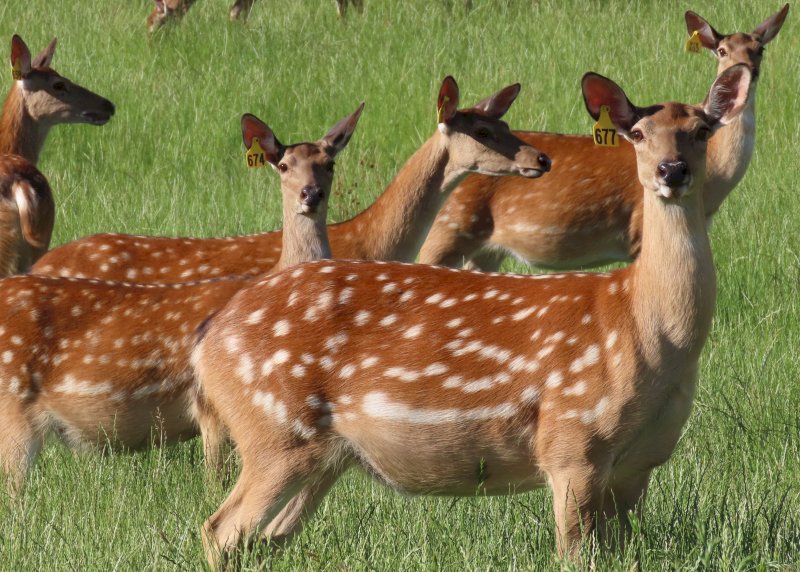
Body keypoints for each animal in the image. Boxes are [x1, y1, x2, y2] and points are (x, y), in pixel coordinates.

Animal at [0, 105, 362, 492]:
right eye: (283, 165)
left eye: (329, 163)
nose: (311, 194)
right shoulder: (209, 405)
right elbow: (215, 482)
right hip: (13, 408)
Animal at [191, 64, 752, 565]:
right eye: (637, 133)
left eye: (702, 129)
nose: (672, 171)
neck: (646, 330)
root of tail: (207, 341)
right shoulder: (573, 441)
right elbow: (575, 554)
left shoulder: (640, 464)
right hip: (275, 429)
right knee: (218, 530)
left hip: (325, 455)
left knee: (265, 540)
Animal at [418, 4, 788, 271]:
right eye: (722, 50)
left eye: (760, 49)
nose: (747, 69)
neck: (716, 184)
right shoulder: (639, 234)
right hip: (444, 230)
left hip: (486, 251)